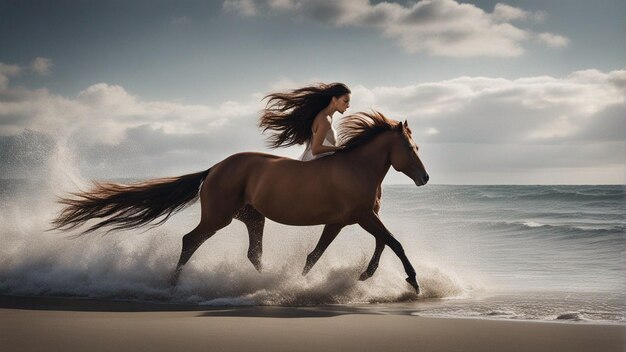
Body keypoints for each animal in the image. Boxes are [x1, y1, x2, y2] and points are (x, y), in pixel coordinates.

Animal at [51, 111, 426, 292]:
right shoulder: (359, 216)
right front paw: (413, 281)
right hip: (218, 217)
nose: (424, 178)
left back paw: (264, 281)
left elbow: (336, 250)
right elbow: (393, 242)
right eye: (410, 148)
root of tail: (215, 168)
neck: (355, 168)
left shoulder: (345, 220)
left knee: (253, 253)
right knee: (190, 240)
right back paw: (173, 284)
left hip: (252, 216)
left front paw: (358, 276)